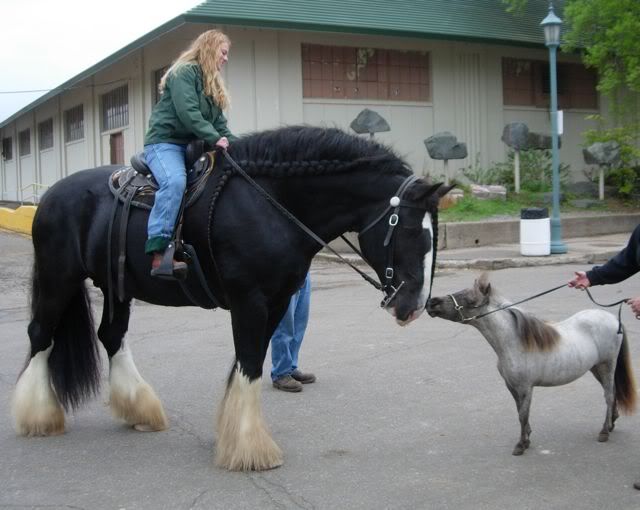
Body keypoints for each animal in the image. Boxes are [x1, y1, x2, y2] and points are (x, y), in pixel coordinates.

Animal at [11, 125, 450, 472]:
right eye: (410, 230)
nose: (412, 307)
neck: (270, 203)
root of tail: (50, 197)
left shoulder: (276, 301)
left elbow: (246, 361)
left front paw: (233, 435)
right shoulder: (249, 301)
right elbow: (251, 362)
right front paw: (250, 448)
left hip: (116, 286)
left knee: (111, 336)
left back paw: (139, 409)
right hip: (58, 278)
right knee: (40, 335)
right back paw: (38, 416)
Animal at [428, 272, 636, 456]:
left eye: (470, 300)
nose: (432, 303)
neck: (514, 342)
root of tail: (613, 319)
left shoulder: (525, 387)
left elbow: (523, 414)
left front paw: (520, 445)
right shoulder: (512, 386)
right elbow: (520, 412)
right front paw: (526, 439)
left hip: (606, 365)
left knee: (609, 395)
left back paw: (604, 432)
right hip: (596, 369)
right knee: (613, 392)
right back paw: (611, 424)